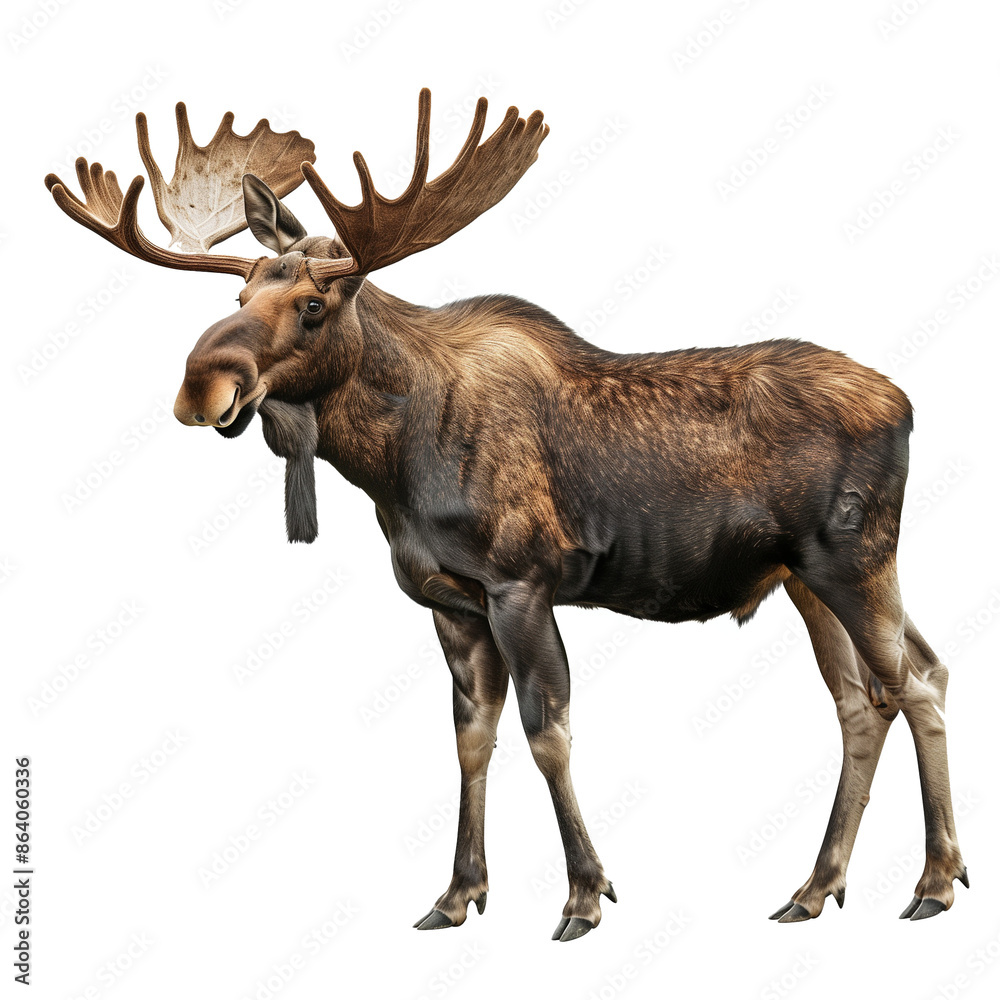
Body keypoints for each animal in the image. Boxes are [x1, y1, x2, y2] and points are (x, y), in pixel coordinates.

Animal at [46, 91, 968, 942]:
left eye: (312, 305)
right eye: (241, 288)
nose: (201, 387)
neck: (391, 464)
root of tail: (908, 401)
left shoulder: (521, 583)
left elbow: (544, 730)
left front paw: (584, 895)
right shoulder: (449, 601)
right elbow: (471, 736)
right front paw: (457, 894)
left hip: (854, 560)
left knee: (915, 680)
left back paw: (932, 882)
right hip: (804, 577)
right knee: (869, 695)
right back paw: (817, 887)